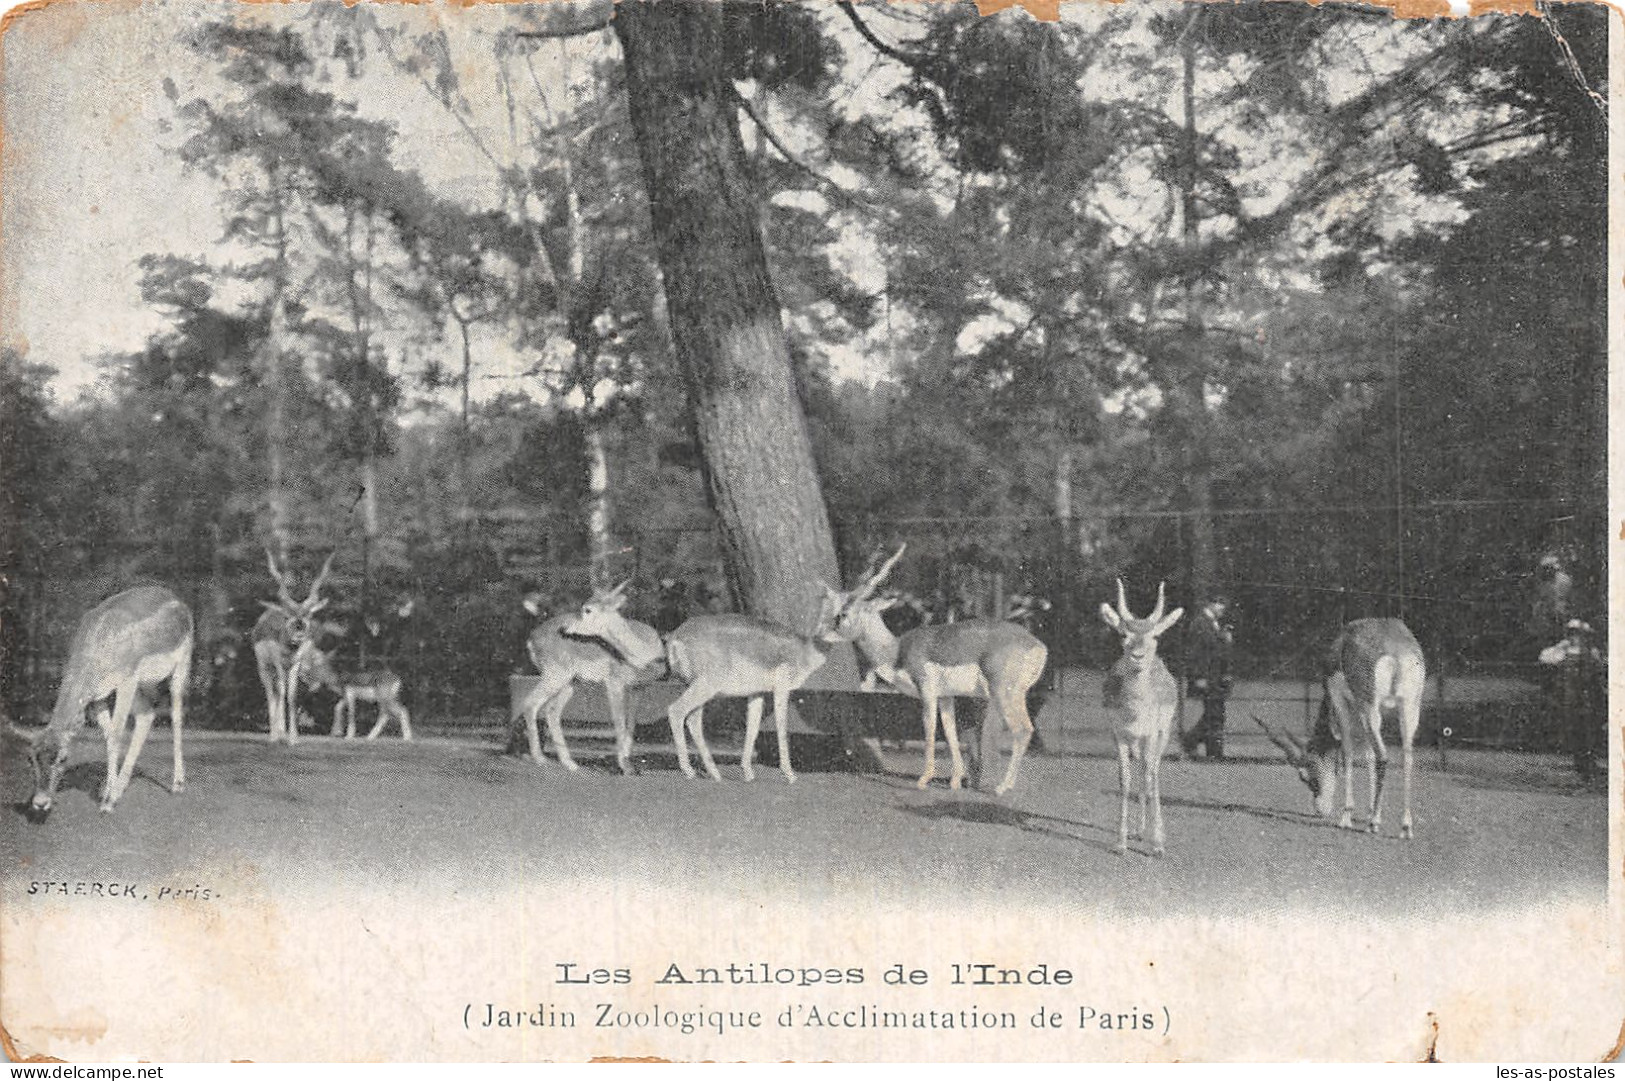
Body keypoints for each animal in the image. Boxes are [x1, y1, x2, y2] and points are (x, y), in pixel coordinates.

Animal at [248, 549, 331, 741]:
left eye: (308, 616)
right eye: (287, 616)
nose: (298, 635)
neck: (289, 651)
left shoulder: (295, 665)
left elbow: (291, 696)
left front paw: (293, 737)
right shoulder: (278, 663)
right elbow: (280, 692)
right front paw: (277, 736)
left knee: (280, 691)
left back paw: (282, 732)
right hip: (264, 667)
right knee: (272, 692)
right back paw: (275, 734)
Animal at [565, 585, 845, 780]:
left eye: (588, 609)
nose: (566, 628)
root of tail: (675, 638)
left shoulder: (756, 693)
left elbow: (752, 728)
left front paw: (748, 773)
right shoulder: (781, 688)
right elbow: (781, 727)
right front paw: (790, 775)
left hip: (700, 688)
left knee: (691, 719)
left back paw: (712, 772)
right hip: (704, 687)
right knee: (677, 711)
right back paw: (690, 771)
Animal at [825, 549, 1053, 793]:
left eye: (844, 613)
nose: (826, 631)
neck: (897, 652)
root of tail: (1037, 645)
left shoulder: (927, 691)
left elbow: (930, 730)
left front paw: (924, 779)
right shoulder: (946, 696)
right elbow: (950, 731)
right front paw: (955, 780)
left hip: (1003, 692)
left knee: (1022, 729)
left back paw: (1002, 787)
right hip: (1017, 694)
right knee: (1026, 729)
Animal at [1098, 578, 1189, 858]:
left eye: (1155, 635)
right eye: (1123, 635)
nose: (1138, 656)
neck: (1134, 714)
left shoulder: (1151, 733)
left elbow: (1151, 776)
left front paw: (1157, 844)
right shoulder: (1118, 734)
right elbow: (1125, 779)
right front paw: (1120, 843)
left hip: (1163, 734)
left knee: (1152, 772)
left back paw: (1152, 833)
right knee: (1141, 771)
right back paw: (1139, 830)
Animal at [1254, 614, 1423, 832]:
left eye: (1305, 776)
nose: (1320, 810)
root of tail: (1396, 651)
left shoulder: (1340, 701)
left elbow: (1347, 752)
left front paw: (1347, 816)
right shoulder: (1361, 713)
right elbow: (1368, 755)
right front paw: (1369, 811)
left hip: (1371, 707)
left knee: (1383, 756)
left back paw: (1374, 824)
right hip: (1409, 708)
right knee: (1407, 757)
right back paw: (1405, 826)